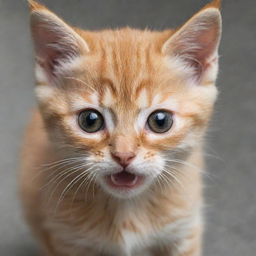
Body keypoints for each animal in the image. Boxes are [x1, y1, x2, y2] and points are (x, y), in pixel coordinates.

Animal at [20, 0, 222, 255]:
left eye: (160, 121)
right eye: (90, 120)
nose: (124, 156)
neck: (127, 209)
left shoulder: (184, 233)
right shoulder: (66, 239)